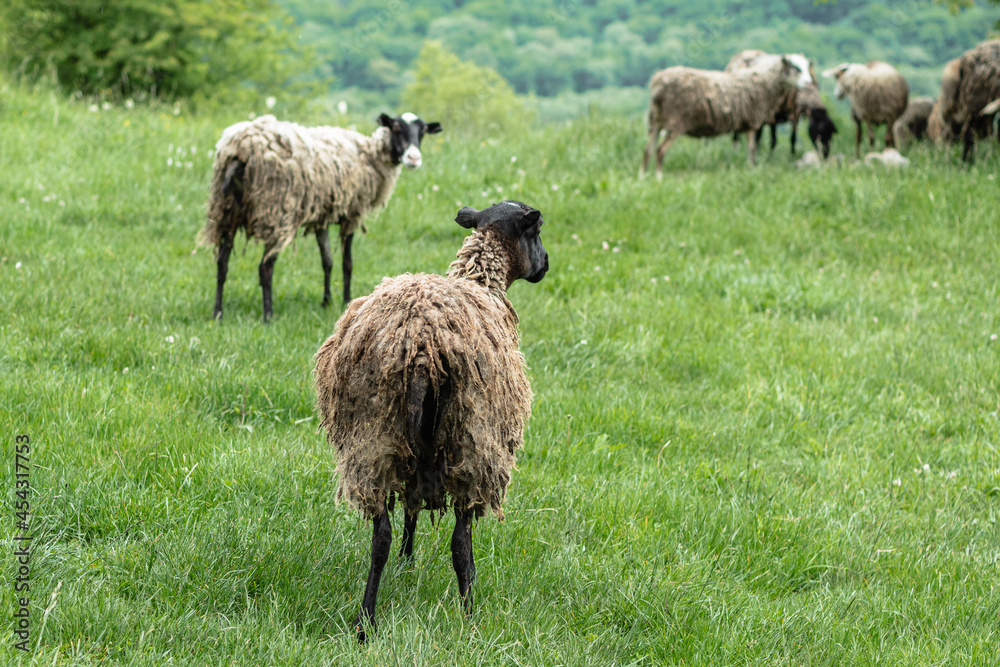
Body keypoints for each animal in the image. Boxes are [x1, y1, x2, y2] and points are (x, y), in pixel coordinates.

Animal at [199, 112, 442, 322]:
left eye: (422, 132)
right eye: (396, 127)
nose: (414, 158)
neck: (370, 154)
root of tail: (240, 150)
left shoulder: (322, 217)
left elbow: (327, 260)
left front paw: (327, 302)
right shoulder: (352, 214)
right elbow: (347, 263)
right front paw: (347, 300)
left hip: (226, 211)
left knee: (221, 264)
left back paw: (217, 313)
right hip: (276, 211)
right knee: (265, 268)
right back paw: (268, 316)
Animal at [313, 200, 549, 642]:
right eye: (538, 231)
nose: (545, 266)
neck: (480, 281)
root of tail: (421, 347)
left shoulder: (414, 460)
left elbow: (410, 511)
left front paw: (407, 563)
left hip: (376, 440)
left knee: (380, 535)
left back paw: (366, 621)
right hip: (470, 444)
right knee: (460, 542)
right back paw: (470, 616)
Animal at [641, 53, 814, 175]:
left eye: (807, 67)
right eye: (796, 68)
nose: (809, 83)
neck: (765, 82)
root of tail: (657, 83)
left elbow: (752, 150)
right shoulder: (752, 123)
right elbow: (752, 151)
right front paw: (751, 169)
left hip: (656, 121)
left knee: (647, 150)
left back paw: (643, 177)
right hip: (675, 121)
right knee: (660, 150)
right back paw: (659, 178)